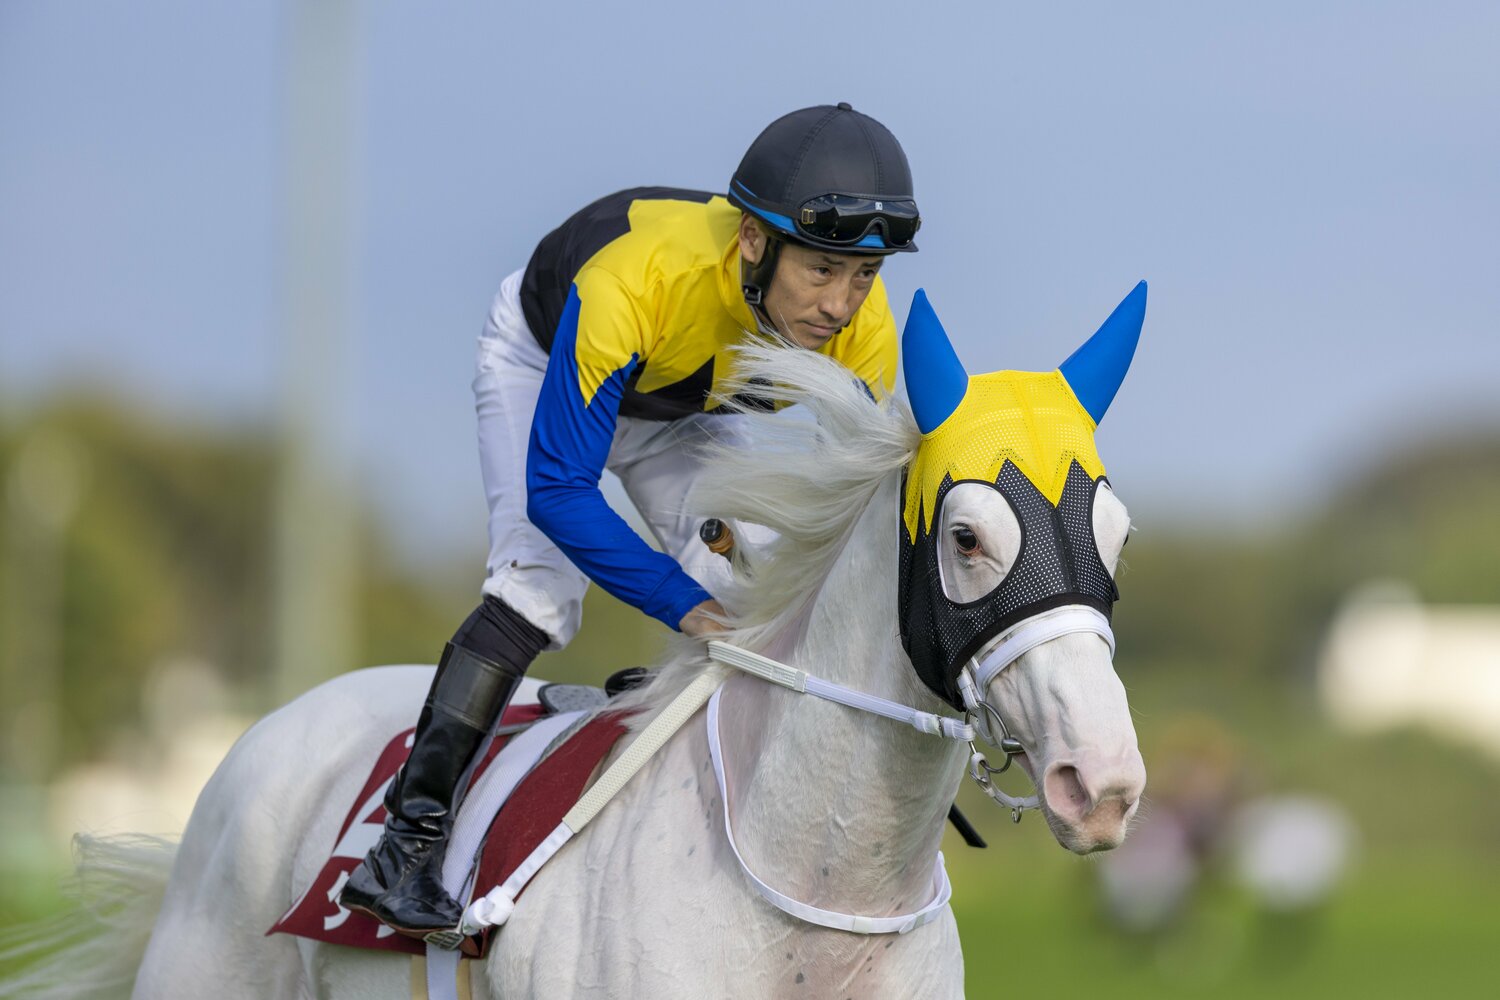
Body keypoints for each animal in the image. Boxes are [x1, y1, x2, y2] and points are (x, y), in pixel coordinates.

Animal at [2, 286, 1148, 1000]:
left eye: (1118, 533)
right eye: (967, 536)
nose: (1104, 784)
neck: (817, 904)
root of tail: (267, 733)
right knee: (528, 592)